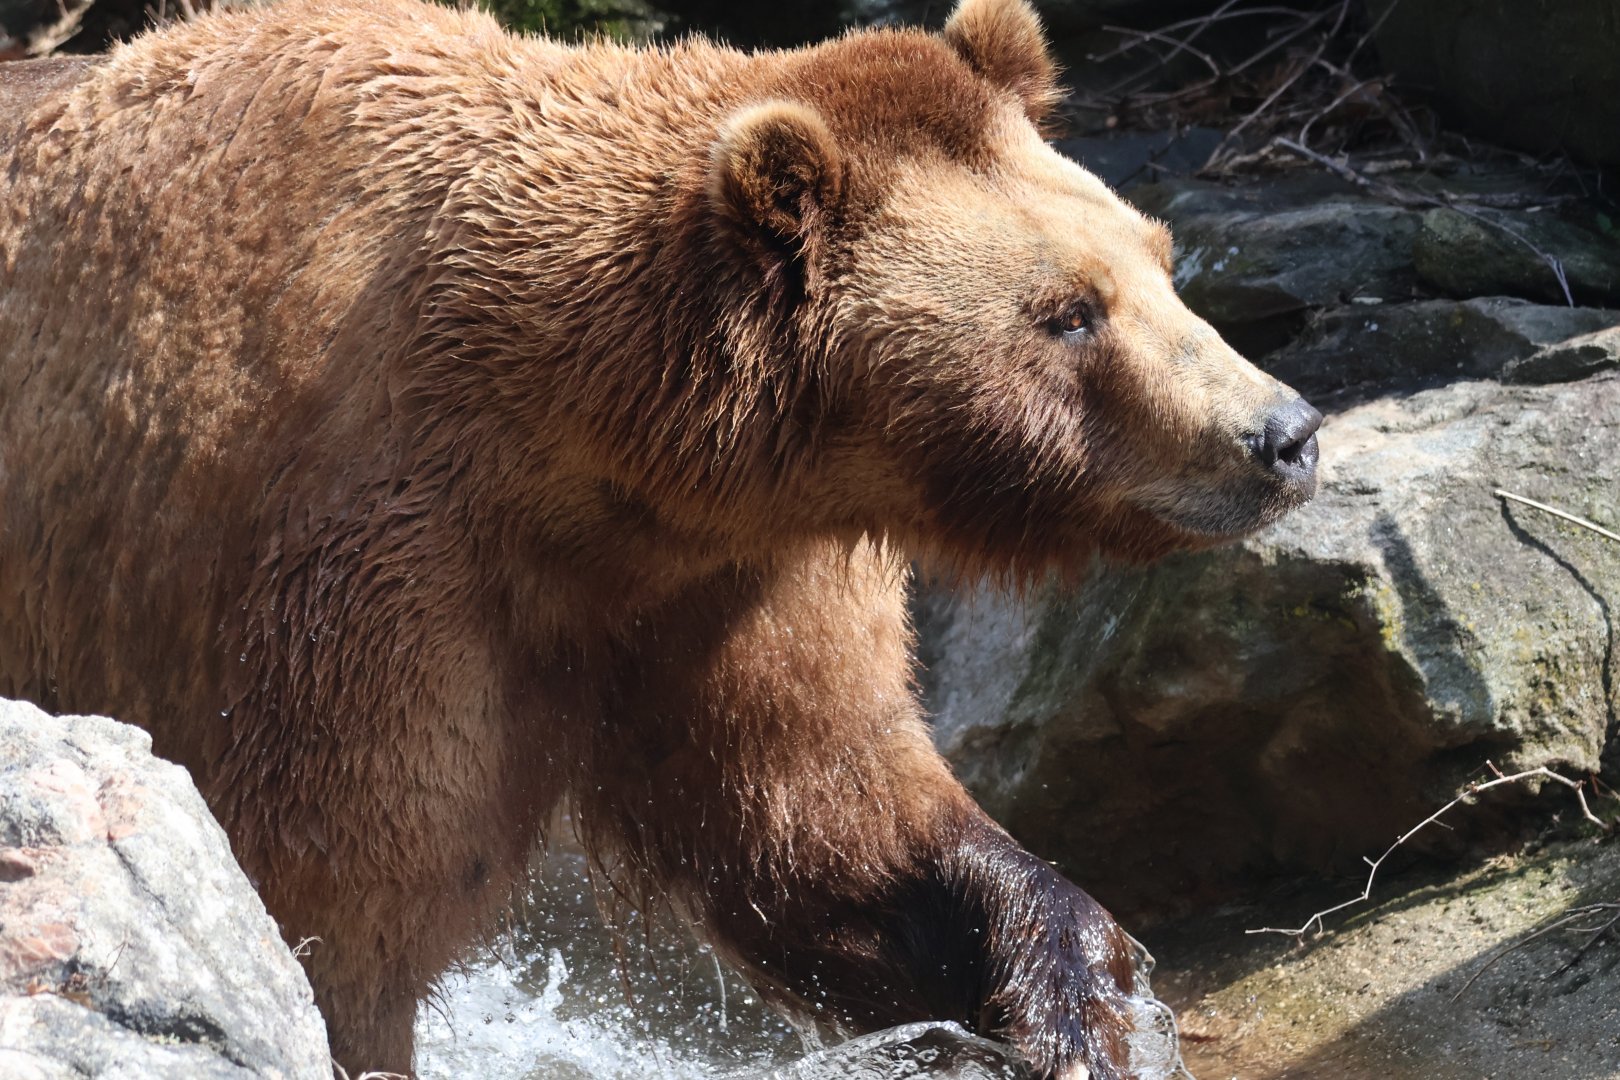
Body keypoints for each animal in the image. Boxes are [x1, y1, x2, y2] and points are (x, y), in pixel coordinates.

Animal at [0, 0, 1321, 1076]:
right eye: (1068, 314)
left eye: (1156, 256)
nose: (1284, 432)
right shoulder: (370, 568)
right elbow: (337, 902)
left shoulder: (726, 583)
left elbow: (825, 815)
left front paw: (1076, 996)